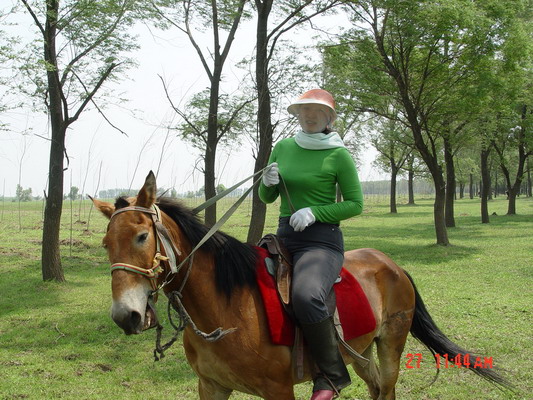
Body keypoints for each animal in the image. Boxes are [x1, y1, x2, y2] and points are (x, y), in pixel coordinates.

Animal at [91, 172, 508, 400]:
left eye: (142, 236)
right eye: (106, 243)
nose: (126, 315)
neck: (227, 310)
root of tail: (392, 265)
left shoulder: (278, 390)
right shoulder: (211, 387)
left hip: (391, 342)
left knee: (387, 389)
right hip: (359, 351)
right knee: (374, 387)